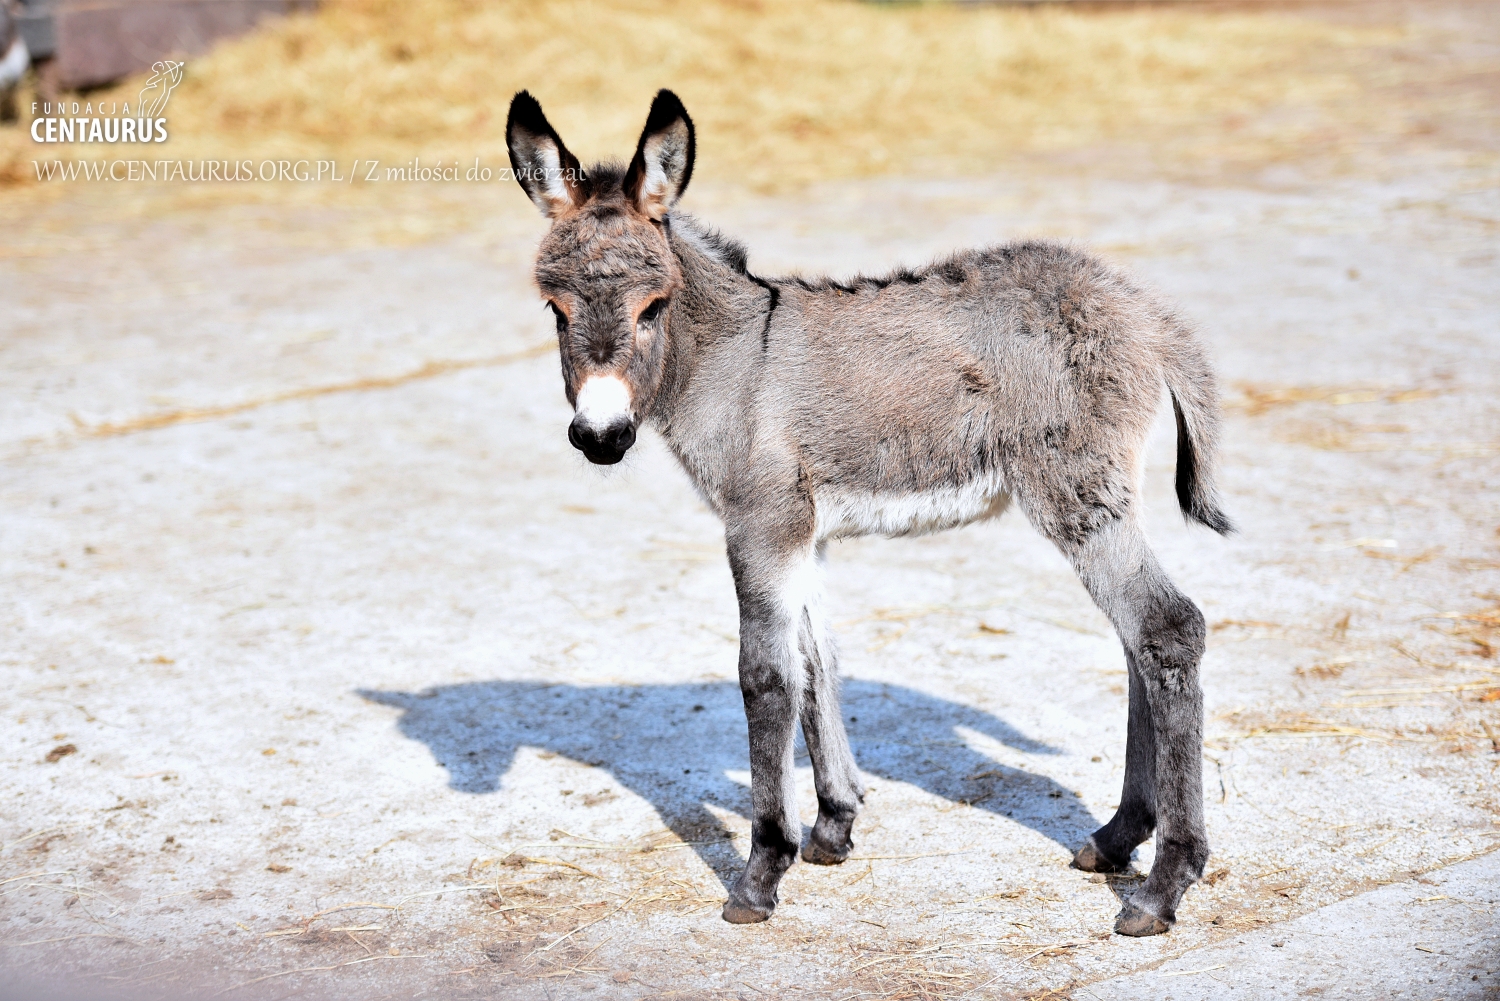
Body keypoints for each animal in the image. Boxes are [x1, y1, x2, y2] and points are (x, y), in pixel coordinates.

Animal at [504, 88, 1230, 942]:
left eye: (653, 308)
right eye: (555, 310)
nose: (600, 436)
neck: (733, 359)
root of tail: (1142, 311)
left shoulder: (759, 526)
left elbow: (767, 679)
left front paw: (762, 869)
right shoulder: (802, 534)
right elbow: (819, 660)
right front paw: (832, 824)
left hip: (1074, 494)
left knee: (1167, 628)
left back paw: (1163, 885)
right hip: (1104, 498)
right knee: (1138, 642)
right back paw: (1117, 838)